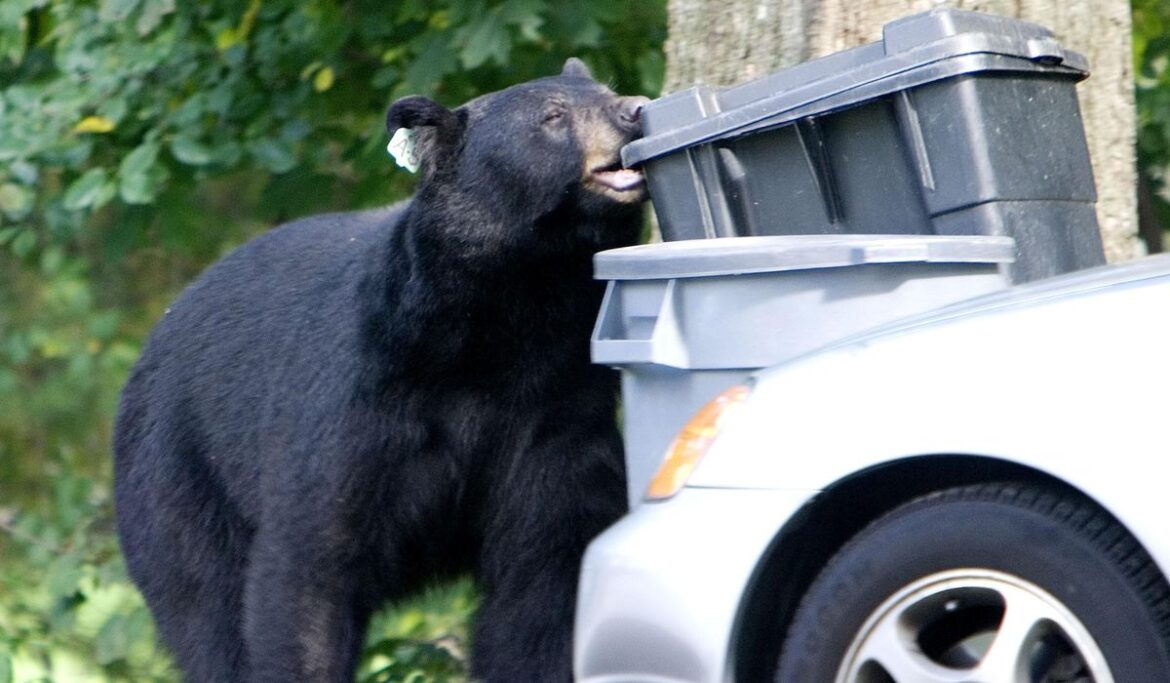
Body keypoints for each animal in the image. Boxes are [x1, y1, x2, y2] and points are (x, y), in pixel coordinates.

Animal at [112, 58, 648, 682]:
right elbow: (309, 571)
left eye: (607, 90)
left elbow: (543, 580)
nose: (634, 109)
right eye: (553, 116)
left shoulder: (556, 414)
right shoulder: (359, 402)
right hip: (178, 482)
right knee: (205, 610)